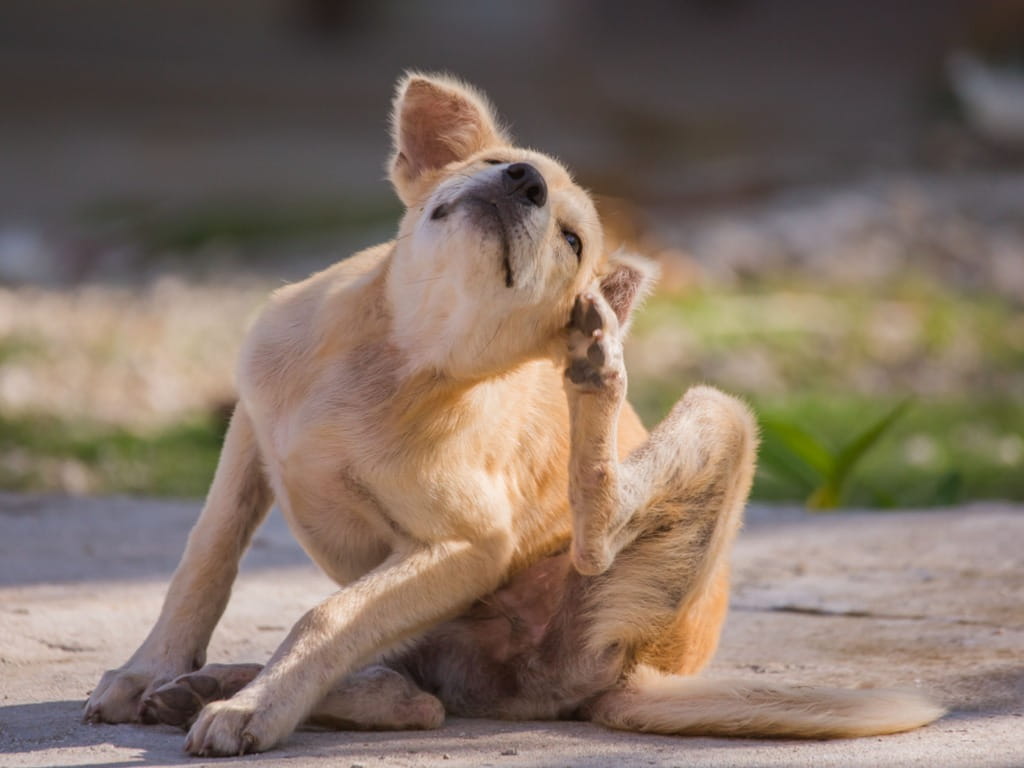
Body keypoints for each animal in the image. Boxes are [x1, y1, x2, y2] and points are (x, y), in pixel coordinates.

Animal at [81, 72, 942, 757]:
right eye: (496, 165)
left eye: (572, 239)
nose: (523, 181)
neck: (396, 354)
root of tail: (640, 671)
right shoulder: (250, 435)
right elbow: (205, 559)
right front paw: (151, 669)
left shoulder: (467, 545)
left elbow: (327, 616)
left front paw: (254, 710)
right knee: (412, 692)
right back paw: (208, 685)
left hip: (714, 427)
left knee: (548, 577)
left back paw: (597, 373)